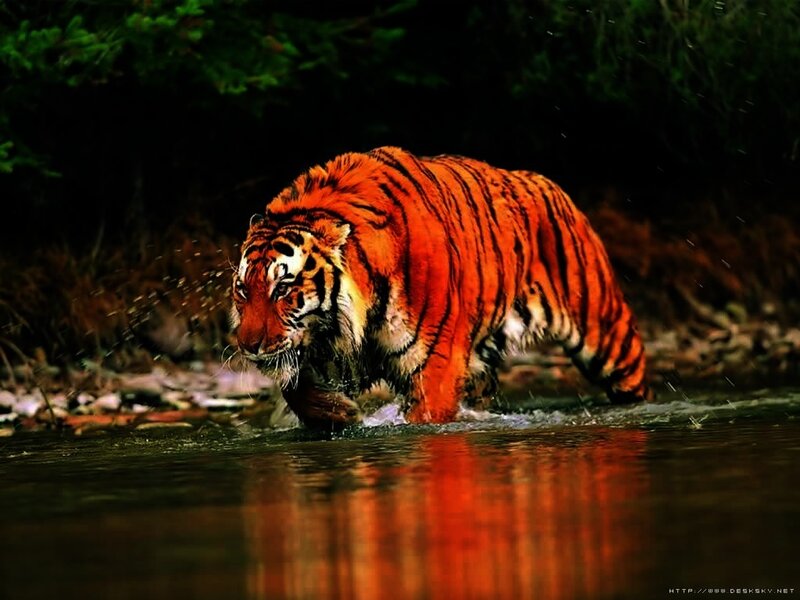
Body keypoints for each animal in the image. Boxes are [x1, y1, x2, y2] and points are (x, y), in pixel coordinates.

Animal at [231, 146, 651, 428]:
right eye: (243, 291)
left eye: (283, 288)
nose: (247, 346)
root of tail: (546, 182)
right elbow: (296, 389)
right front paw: (341, 414)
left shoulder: (434, 367)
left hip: (607, 334)